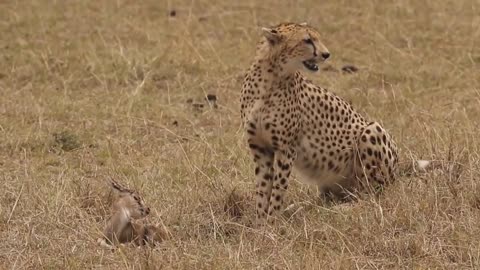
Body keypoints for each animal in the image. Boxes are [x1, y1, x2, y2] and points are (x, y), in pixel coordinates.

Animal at [242, 22, 400, 223]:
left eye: (316, 38)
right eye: (307, 40)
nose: (326, 54)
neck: (269, 79)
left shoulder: (286, 149)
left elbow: (277, 189)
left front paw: (273, 221)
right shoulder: (260, 148)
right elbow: (263, 189)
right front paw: (261, 223)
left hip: (372, 131)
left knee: (371, 196)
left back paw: (342, 208)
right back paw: (302, 208)